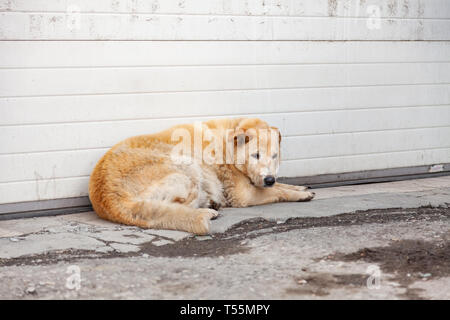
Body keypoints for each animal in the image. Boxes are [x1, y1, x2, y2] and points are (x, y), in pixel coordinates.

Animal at [89, 118, 314, 235]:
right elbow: (276, 192)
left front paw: (300, 188)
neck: (227, 143)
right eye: (256, 155)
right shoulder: (243, 195)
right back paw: (209, 209)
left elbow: (280, 186)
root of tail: (108, 197)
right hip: (188, 167)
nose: (269, 179)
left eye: (274, 156)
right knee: (180, 206)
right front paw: (299, 194)